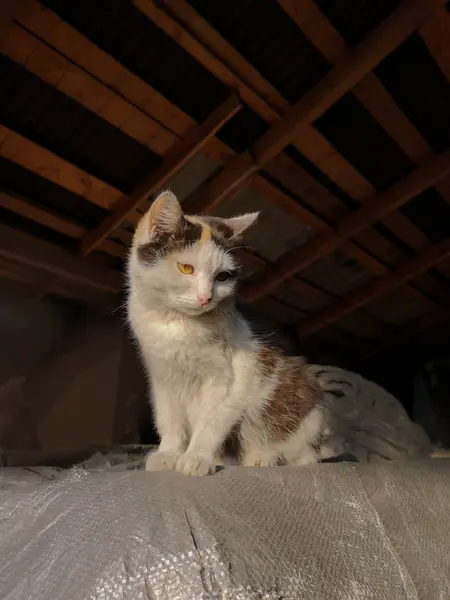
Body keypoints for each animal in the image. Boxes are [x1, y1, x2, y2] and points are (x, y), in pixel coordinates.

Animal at [127, 190, 324, 476]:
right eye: (186, 268)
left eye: (222, 277)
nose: (206, 297)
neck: (179, 325)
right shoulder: (162, 378)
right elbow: (169, 419)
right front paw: (169, 453)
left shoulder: (232, 377)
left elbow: (212, 421)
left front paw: (196, 457)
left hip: (306, 402)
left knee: (305, 457)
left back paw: (265, 458)